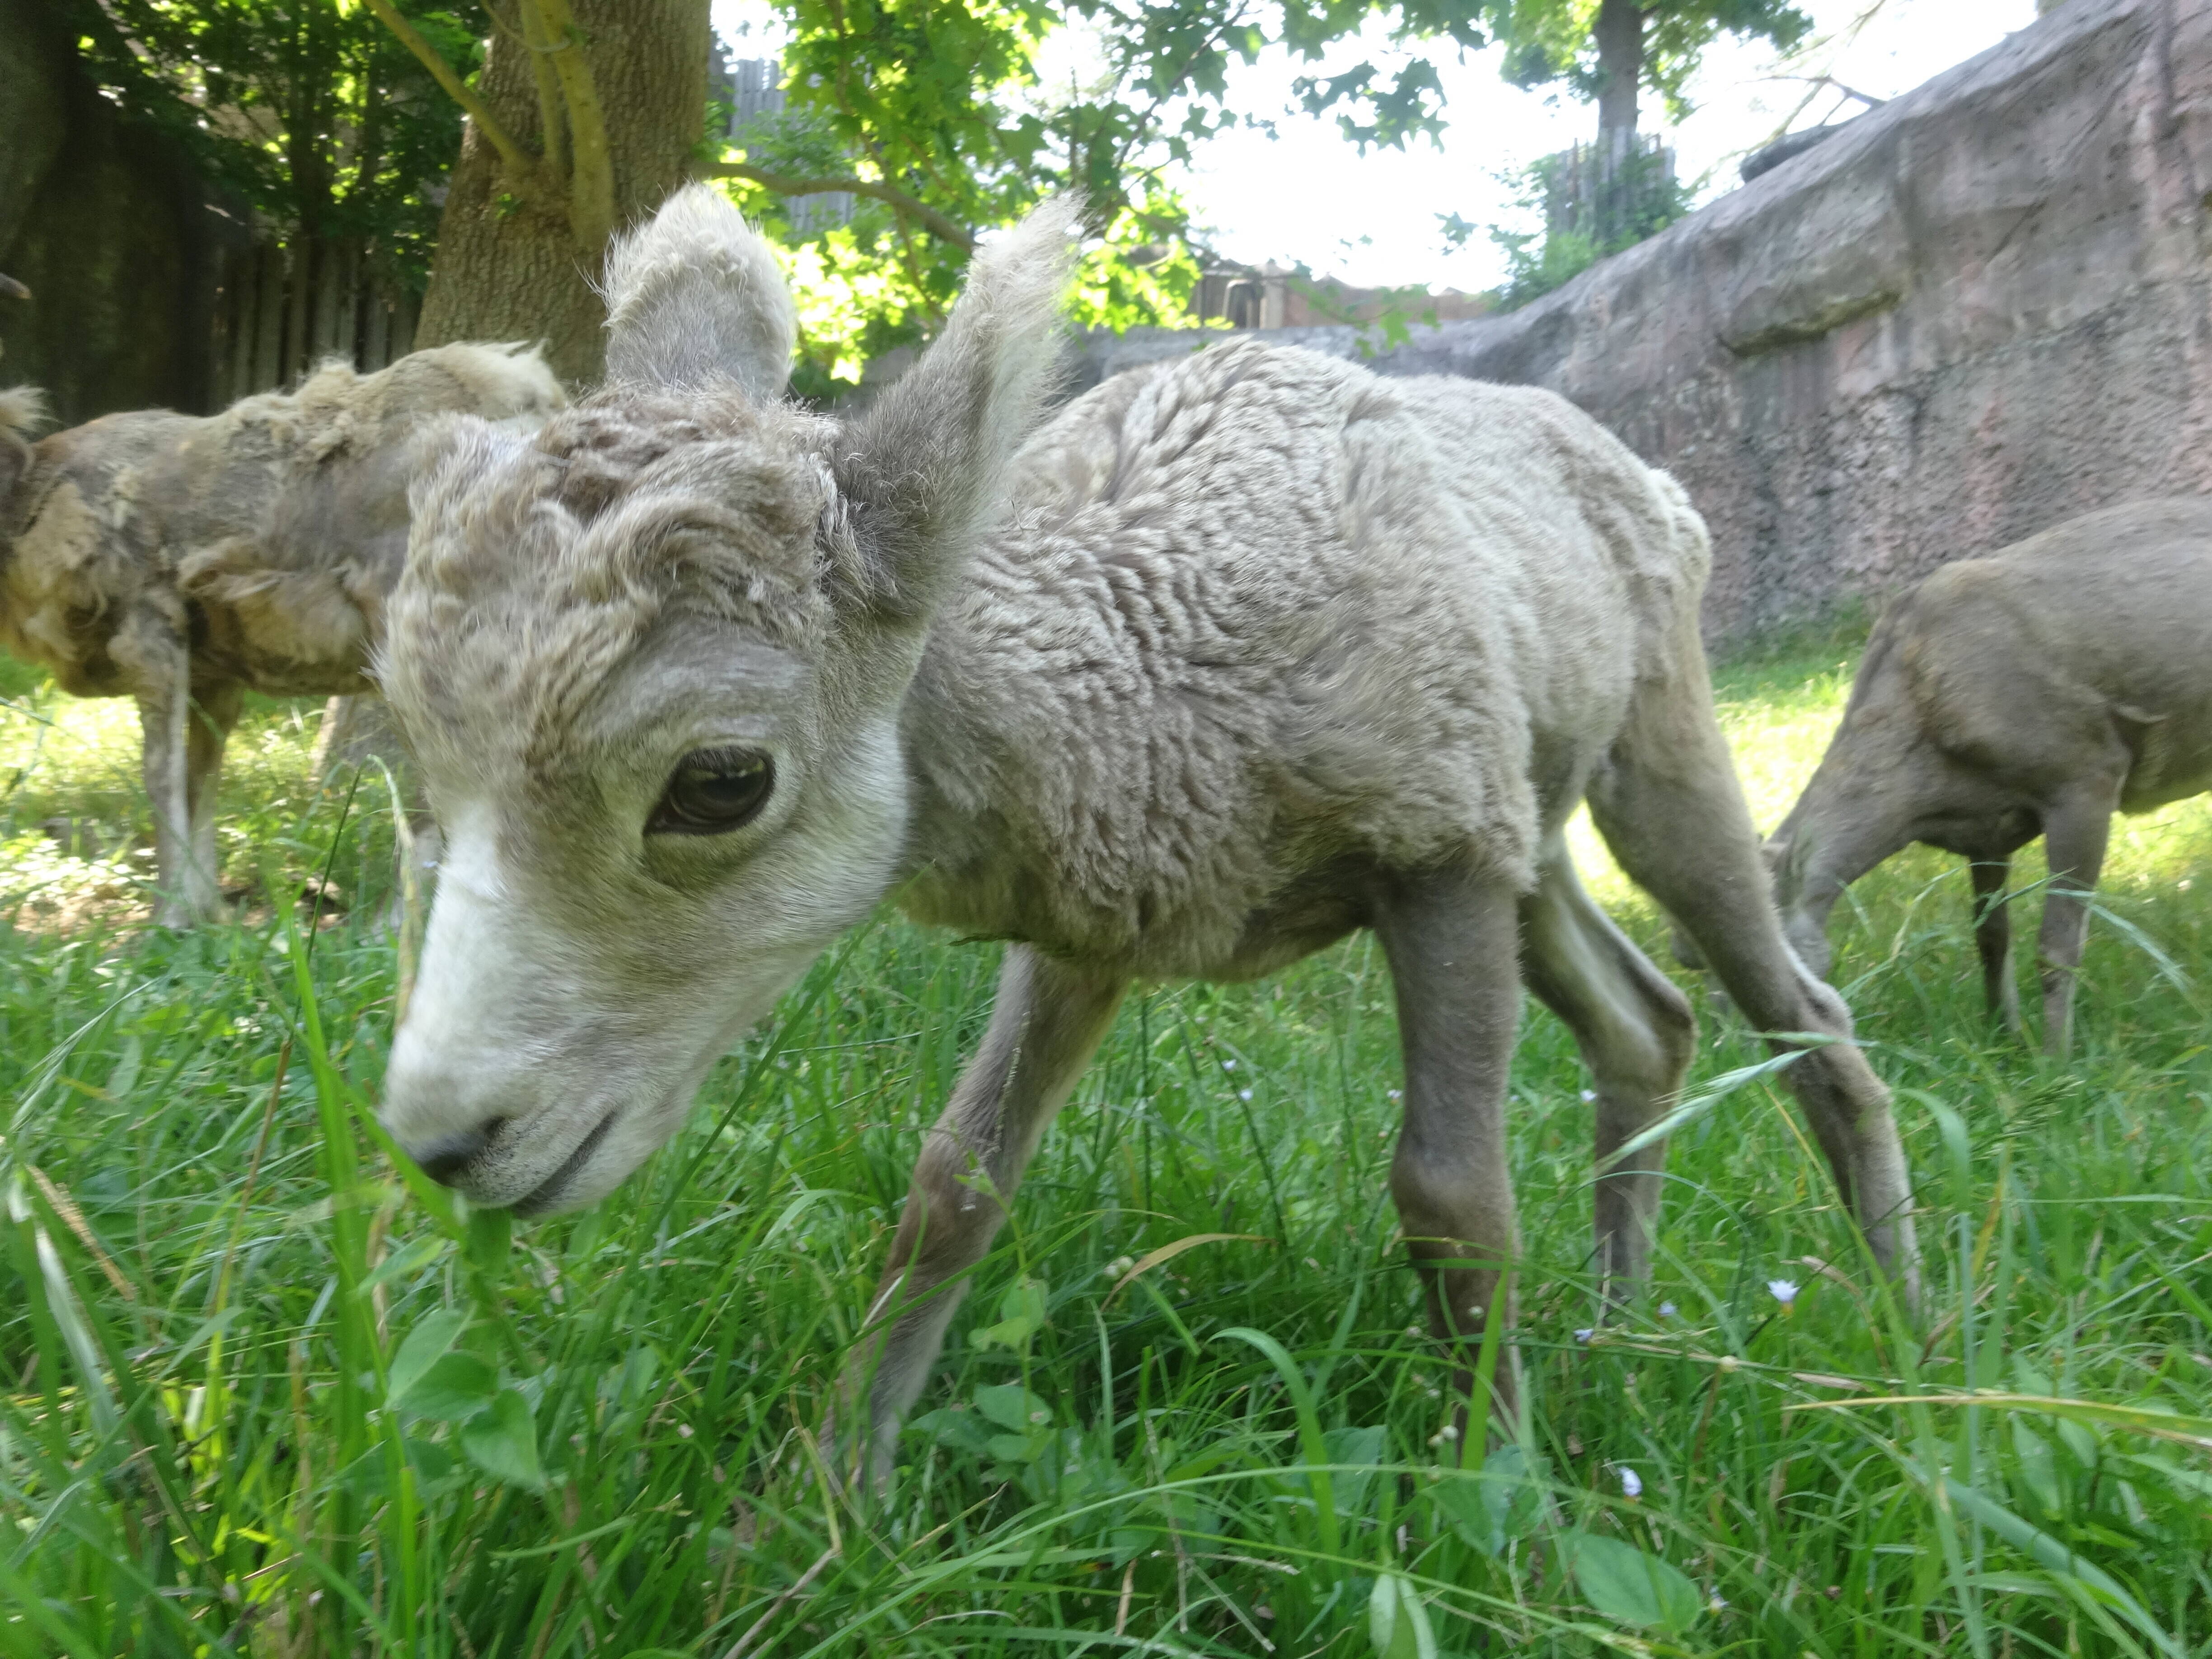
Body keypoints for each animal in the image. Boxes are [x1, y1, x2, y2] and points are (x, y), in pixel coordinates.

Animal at [0, 345, 566, 929]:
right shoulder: (215, 678)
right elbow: (201, 783)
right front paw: (210, 916)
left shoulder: (151, 640)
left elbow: (162, 779)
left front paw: (168, 921)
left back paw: (388, 929)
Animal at [376, 184, 1920, 1477]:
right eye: (418, 747)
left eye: (719, 780)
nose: (446, 1141)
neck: (1162, 639)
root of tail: (1657, 485)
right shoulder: (1096, 929)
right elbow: (954, 1184)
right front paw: (825, 1499)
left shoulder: (1436, 856)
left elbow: (1452, 1198)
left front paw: (1501, 1500)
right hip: (1534, 835)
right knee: (1649, 1022)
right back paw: (1615, 1319)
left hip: (1647, 766)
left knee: (1802, 1013)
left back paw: (1907, 1325)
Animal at [1761, 500, 2212, 1057]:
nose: (1745, 1048)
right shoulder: (1985, 832)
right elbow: (1990, 935)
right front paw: (2002, 1034)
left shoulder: (2087, 774)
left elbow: (2057, 944)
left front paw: (2056, 1060)